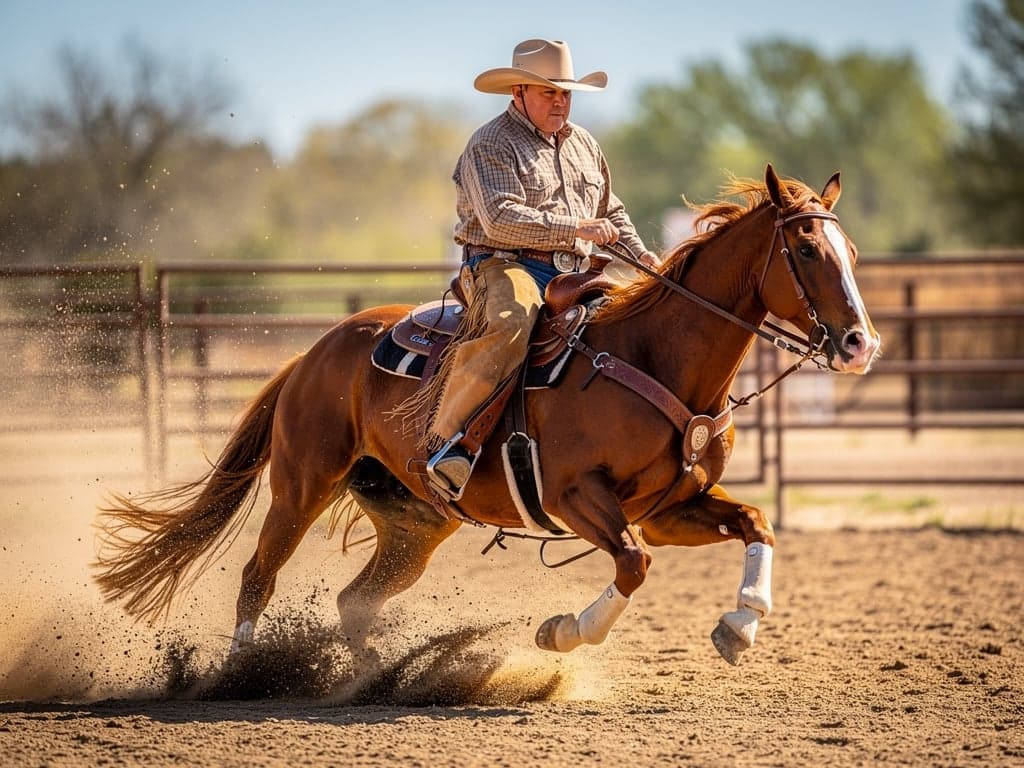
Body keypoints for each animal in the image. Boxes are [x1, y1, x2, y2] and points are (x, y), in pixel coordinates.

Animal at [94, 165, 880, 667]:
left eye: (851, 249)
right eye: (806, 248)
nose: (859, 343)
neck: (652, 355)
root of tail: (314, 352)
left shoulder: (668, 507)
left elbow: (757, 522)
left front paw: (739, 626)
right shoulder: (577, 496)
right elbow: (633, 564)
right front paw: (561, 632)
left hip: (415, 523)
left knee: (354, 601)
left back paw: (379, 678)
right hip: (301, 484)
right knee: (259, 572)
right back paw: (246, 670)